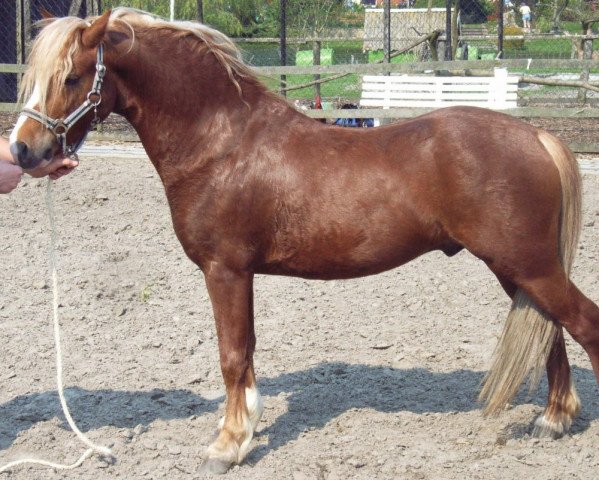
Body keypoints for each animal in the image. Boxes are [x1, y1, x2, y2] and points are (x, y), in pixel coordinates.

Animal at [8, 7, 599, 472]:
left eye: (71, 77)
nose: (22, 150)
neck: (220, 143)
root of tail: (536, 134)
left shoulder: (226, 270)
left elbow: (231, 353)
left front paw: (227, 445)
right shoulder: (237, 273)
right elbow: (244, 353)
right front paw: (244, 427)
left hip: (527, 266)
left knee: (582, 323)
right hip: (518, 269)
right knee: (551, 330)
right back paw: (553, 419)